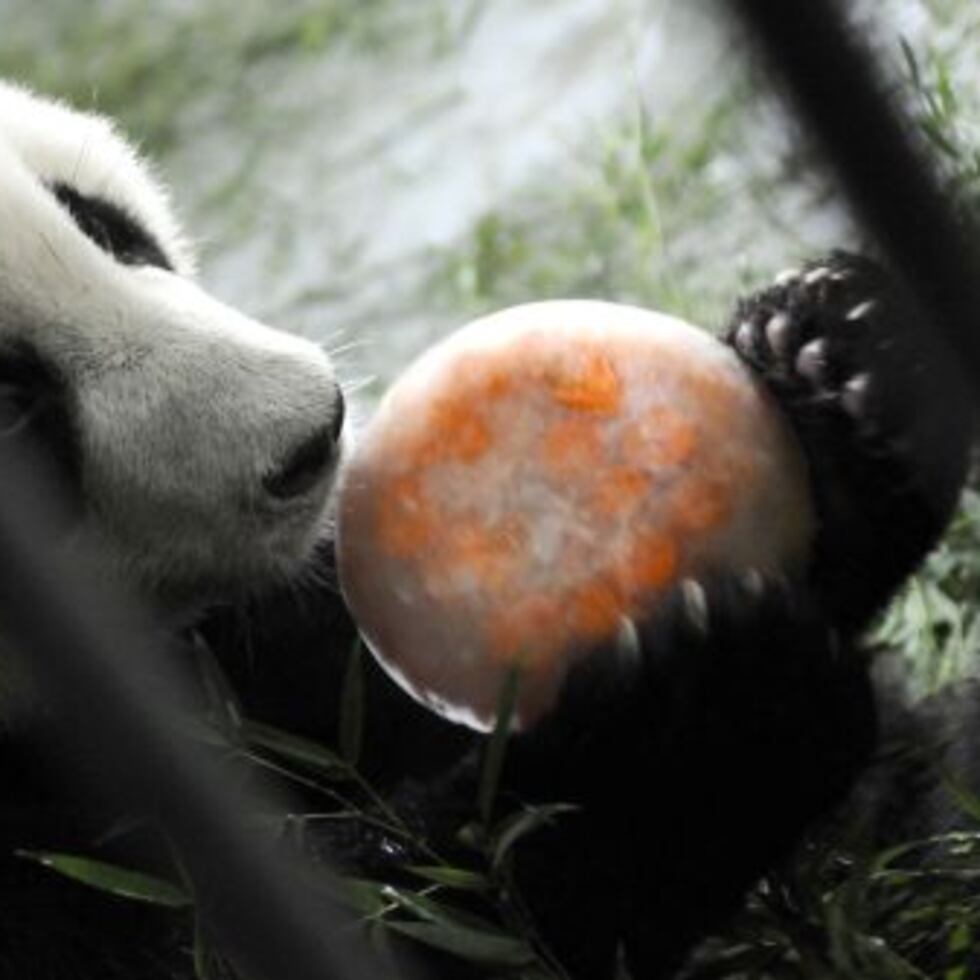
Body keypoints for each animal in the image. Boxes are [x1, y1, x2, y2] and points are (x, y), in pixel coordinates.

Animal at [0, 80, 973, 980]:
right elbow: (379, 925)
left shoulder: (256, 635)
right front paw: (702, 711)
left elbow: (357, 686)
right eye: (17, 409)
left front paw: (834, 368)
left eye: (107, 228)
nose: (312, 437)